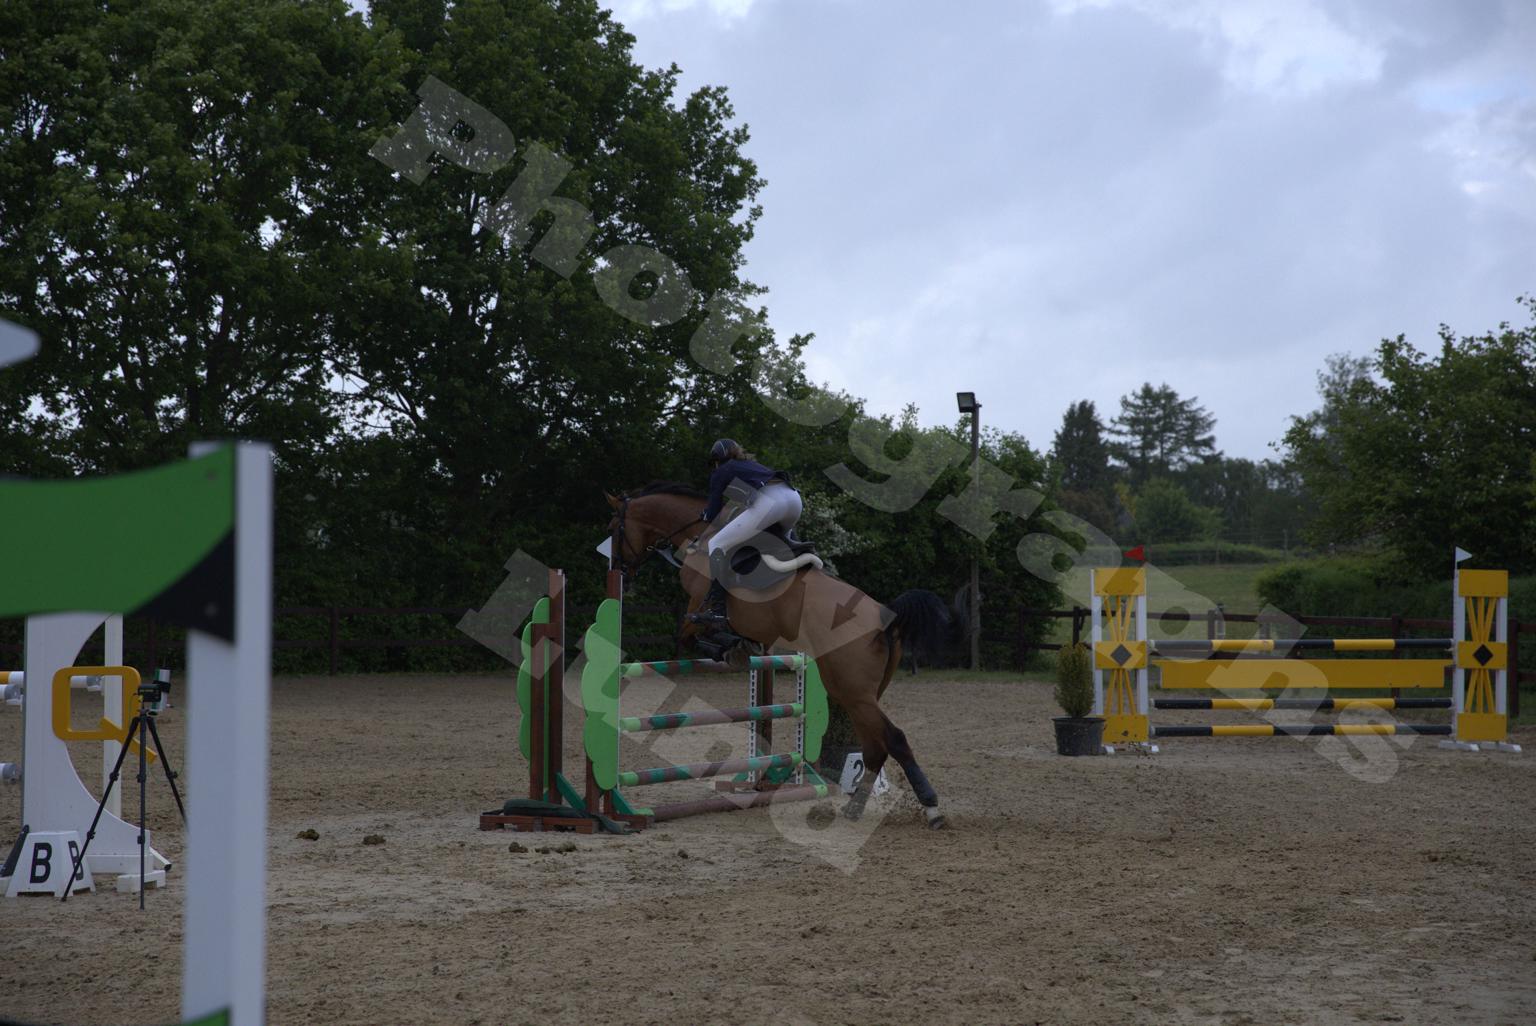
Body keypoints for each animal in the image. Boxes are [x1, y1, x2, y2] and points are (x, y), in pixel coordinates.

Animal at [606, 483, 955, 829]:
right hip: (858, 694)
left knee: (894, 739)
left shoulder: (697, 606)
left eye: (614, 529)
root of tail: (887, 618)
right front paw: (739, 646)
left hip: (852, 690)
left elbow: (691, 634)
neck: (701, 535)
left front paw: (729, 647)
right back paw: (854, 808)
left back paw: (932, 810)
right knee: (875, 748)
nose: (621, 571)